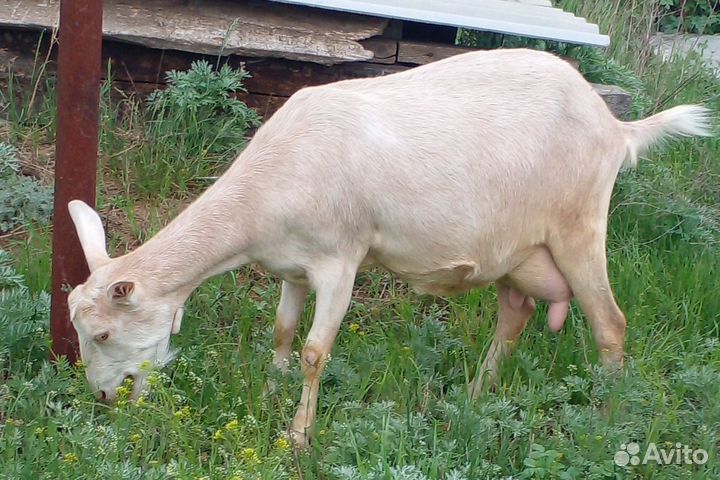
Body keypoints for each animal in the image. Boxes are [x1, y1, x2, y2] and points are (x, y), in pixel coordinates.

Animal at [67, 48, 711, 446]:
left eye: (104, 334)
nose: (103, 397)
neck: (265, 189)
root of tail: (616, 127)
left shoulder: (340, 261)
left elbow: (315, 352)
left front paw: (298, 436)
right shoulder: (292, 267)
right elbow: (281, 332)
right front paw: (269, 393)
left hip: (579, 225)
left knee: (610, 323)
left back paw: (606, 419)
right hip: (517, 249)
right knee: (516, 313)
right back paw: (471, 399)